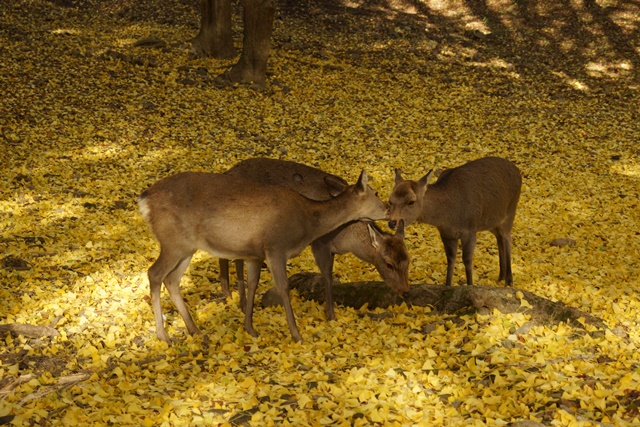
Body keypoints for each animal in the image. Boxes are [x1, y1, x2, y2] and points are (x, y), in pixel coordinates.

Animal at [137, 169, 384, 342]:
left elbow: (253, 284)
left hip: (187, 247)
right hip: (172, 241)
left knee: (172, 279)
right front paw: (296, 334)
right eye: (376, 193)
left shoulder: (254, 255)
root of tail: (144, 199)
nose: (388, 209)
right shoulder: (275, 247)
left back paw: (195, 330)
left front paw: (250, 328)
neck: (307, 221)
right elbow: (283, 287)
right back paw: (163, 335)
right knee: (154, 273)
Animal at [220, 158, 410, 320]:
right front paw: (331, 315)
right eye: (389, 264)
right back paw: (236, 299)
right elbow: (327, 275)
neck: (346, 240)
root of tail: (228, 172)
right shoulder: (319, 244)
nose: (406, 291)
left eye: (408, 261)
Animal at [388, 156, 524, 288]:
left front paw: (470, 286)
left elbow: (467, 260)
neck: (449, 218)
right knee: (499, 238)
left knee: (507, 238)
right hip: (493, 221)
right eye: (390, 200)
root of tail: (517, 170)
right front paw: (448, 286)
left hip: (510, 211)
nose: (392, 222)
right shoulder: (446, 234)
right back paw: (501, 277)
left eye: (411, 201)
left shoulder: (470, 230)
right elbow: (451, 258)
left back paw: (509, 281)